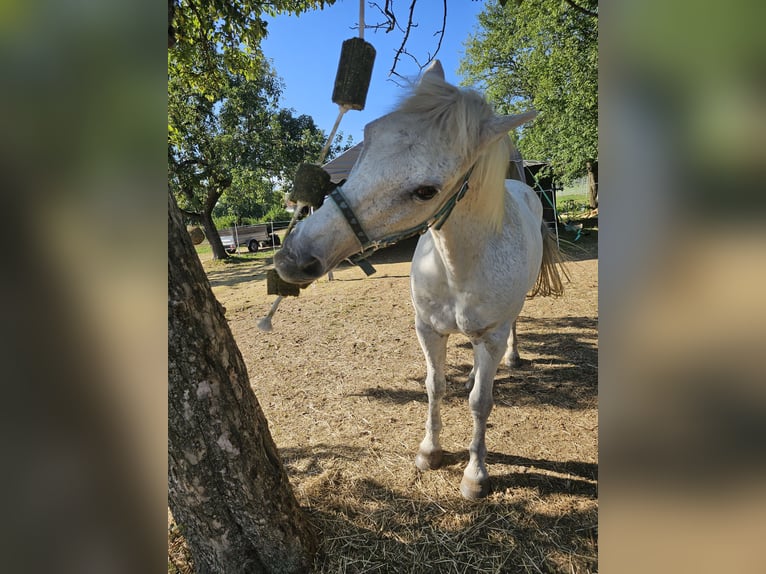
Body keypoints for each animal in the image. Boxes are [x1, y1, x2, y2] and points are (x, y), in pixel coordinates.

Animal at [280, 60, 568, 498]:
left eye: (426, 191)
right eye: (369, 134)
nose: (292, 257)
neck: (457, 266)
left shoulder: (492, 333)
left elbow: (480, 403)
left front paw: (475, 474)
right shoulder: (428, 330)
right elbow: (435, 387)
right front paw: (430, 452)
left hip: (506, 321)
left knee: (511, 331)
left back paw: (513, 357)